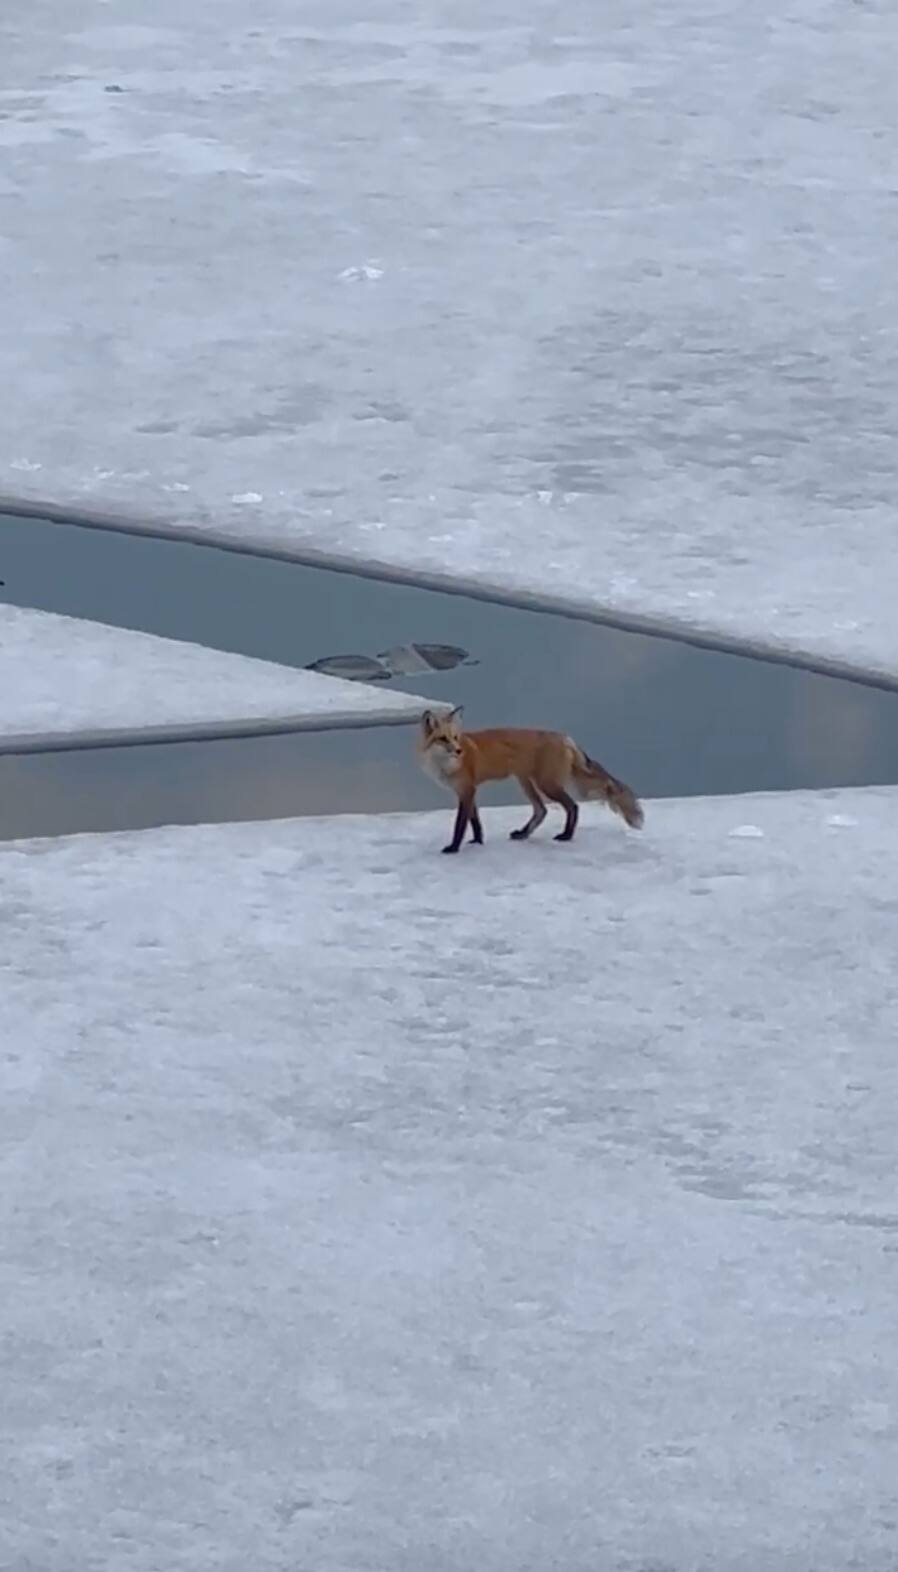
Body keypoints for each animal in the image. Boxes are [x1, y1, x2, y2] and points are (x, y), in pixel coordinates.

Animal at [418, 706, 644, 854]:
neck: (446, 765)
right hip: (526, 781)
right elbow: (475, 822)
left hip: (546, 784)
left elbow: (460, 824)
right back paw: (523, 833)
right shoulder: (466, 791)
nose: (458, 750)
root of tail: (565, 737)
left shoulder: (467, 790)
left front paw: (454, 848)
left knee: (572, 806)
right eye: (443, 739)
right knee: (541, 810)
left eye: (455, 737)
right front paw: (477, 842)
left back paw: (566, 835)